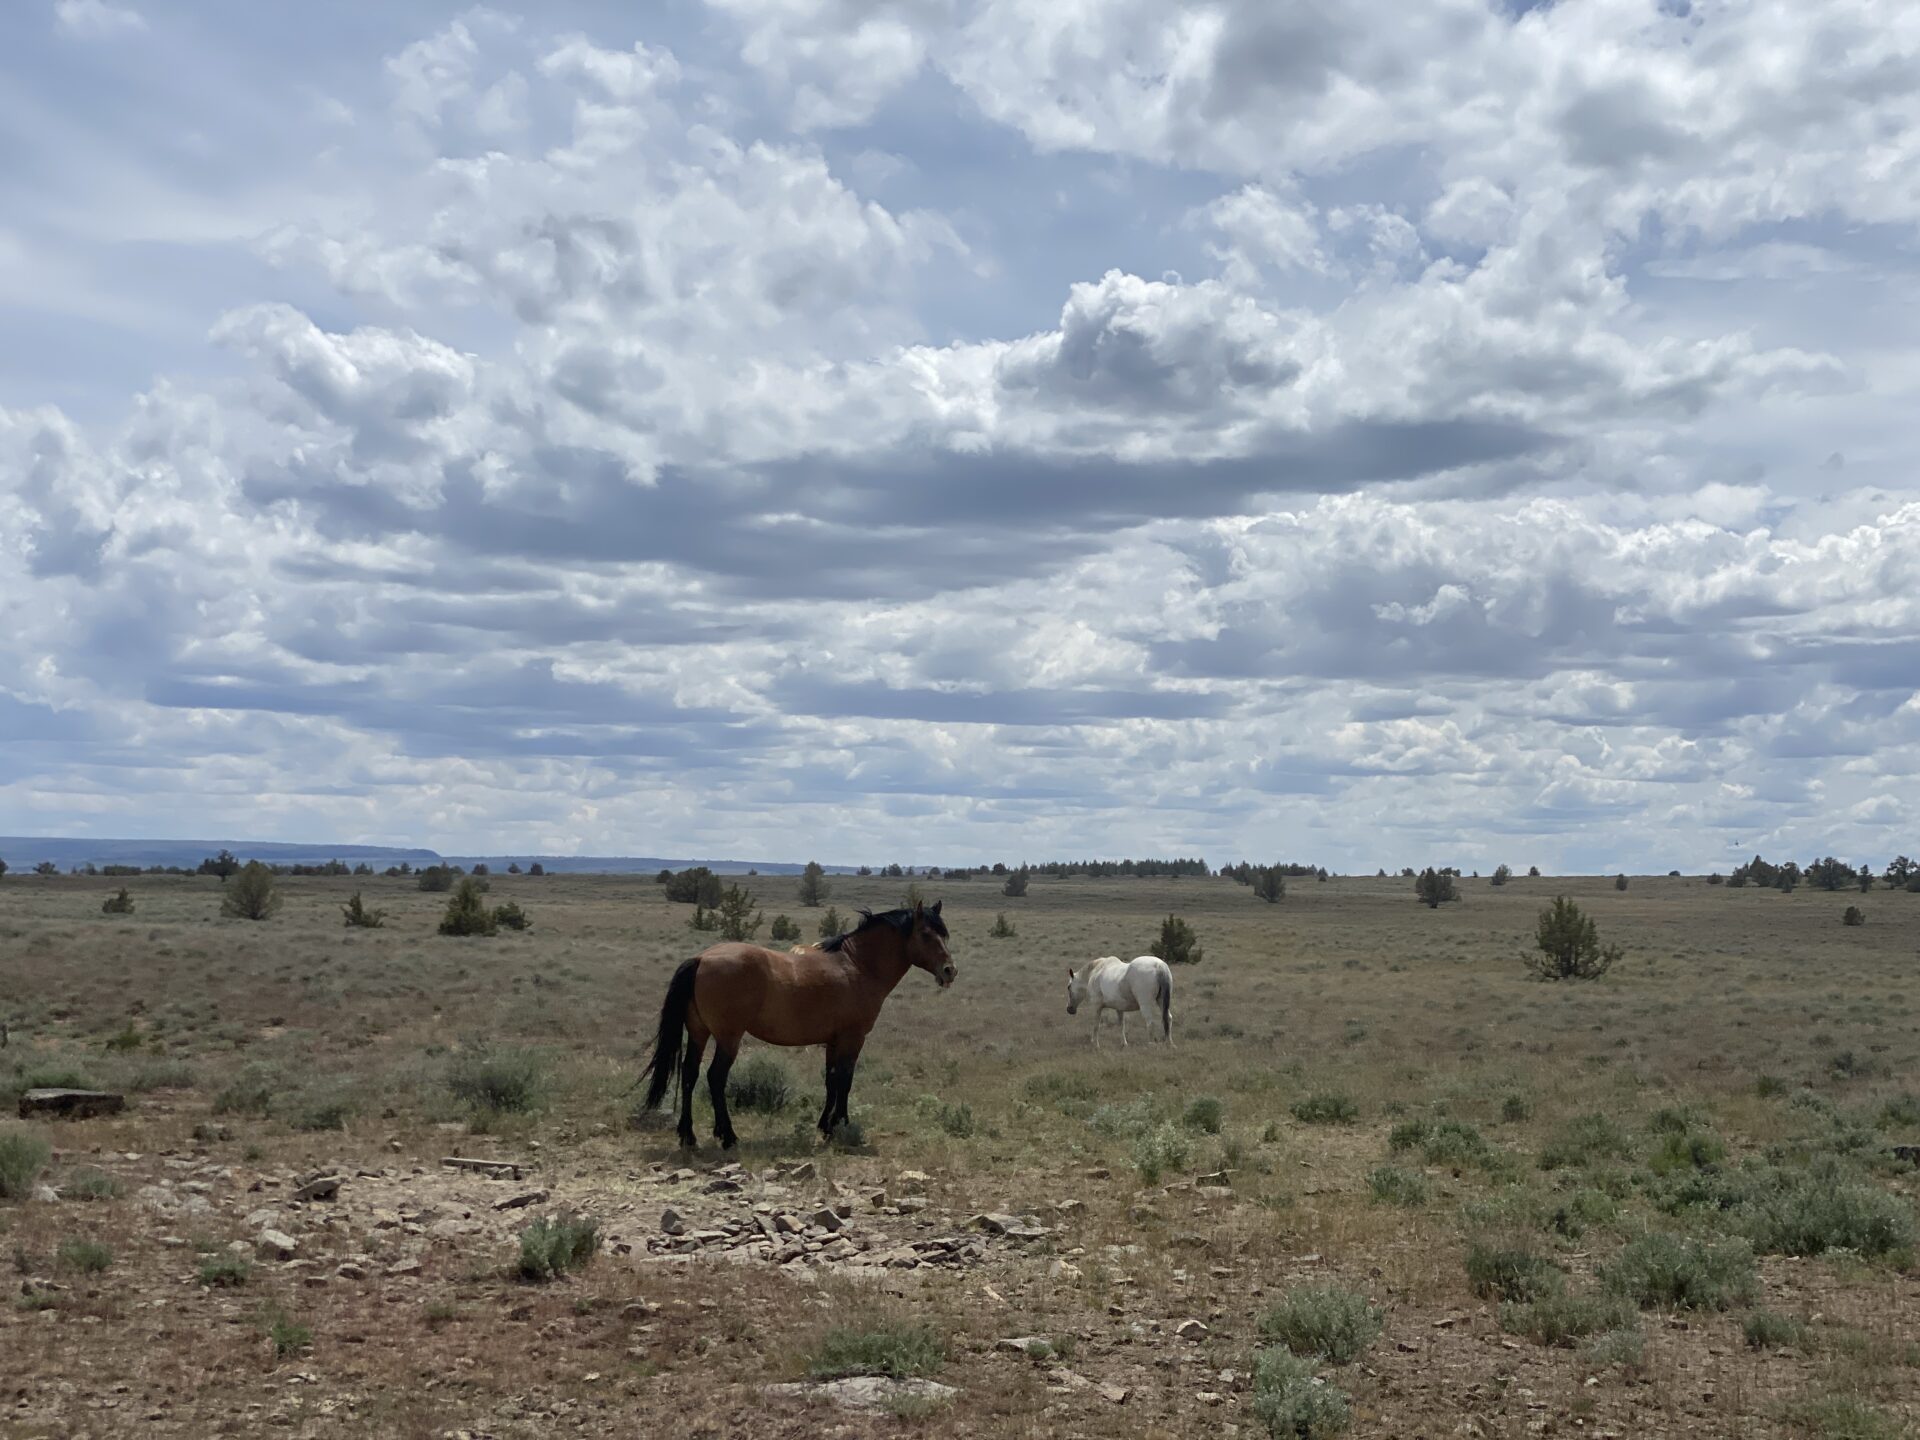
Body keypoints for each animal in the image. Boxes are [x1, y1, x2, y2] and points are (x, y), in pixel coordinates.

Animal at [637, 902, 952, 1152]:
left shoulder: (833, 1041)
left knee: (689, 1075)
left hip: (699, 1032)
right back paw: (728, 1136)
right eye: (926, 934)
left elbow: (831, 1081)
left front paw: (826, 1126)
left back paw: (688, 1136)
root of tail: (702, 958)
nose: (950, 971)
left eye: (945, 934)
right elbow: (845, 1080)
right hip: (728, 1038)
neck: (856, 966)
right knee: (715, 1077)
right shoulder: (853, 1038)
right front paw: (842, 1126)